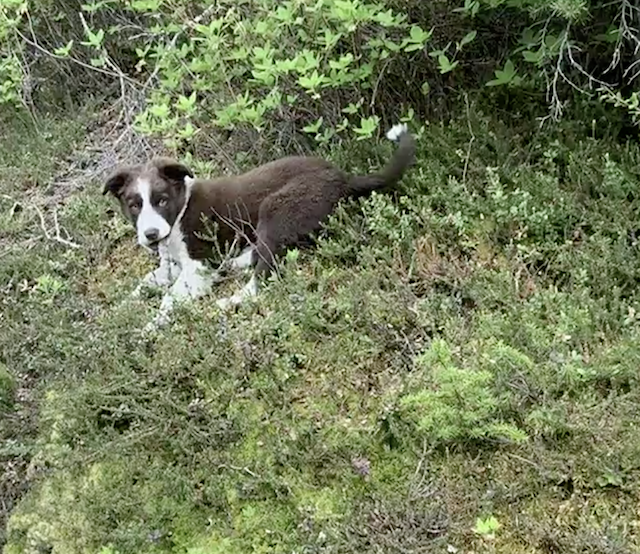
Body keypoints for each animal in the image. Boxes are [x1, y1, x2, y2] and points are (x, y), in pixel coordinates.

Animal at [103, 123, 418, 330]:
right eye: (134, 205)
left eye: (162, 200)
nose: (150, 235)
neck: (180, 212)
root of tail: (343, 177)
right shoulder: (170, 266)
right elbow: (144, 284)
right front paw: (120, 310)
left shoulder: (198, 267)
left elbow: (169, 298)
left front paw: (151, 326)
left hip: (276, 209)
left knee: (264, 276)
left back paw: (229, 300)